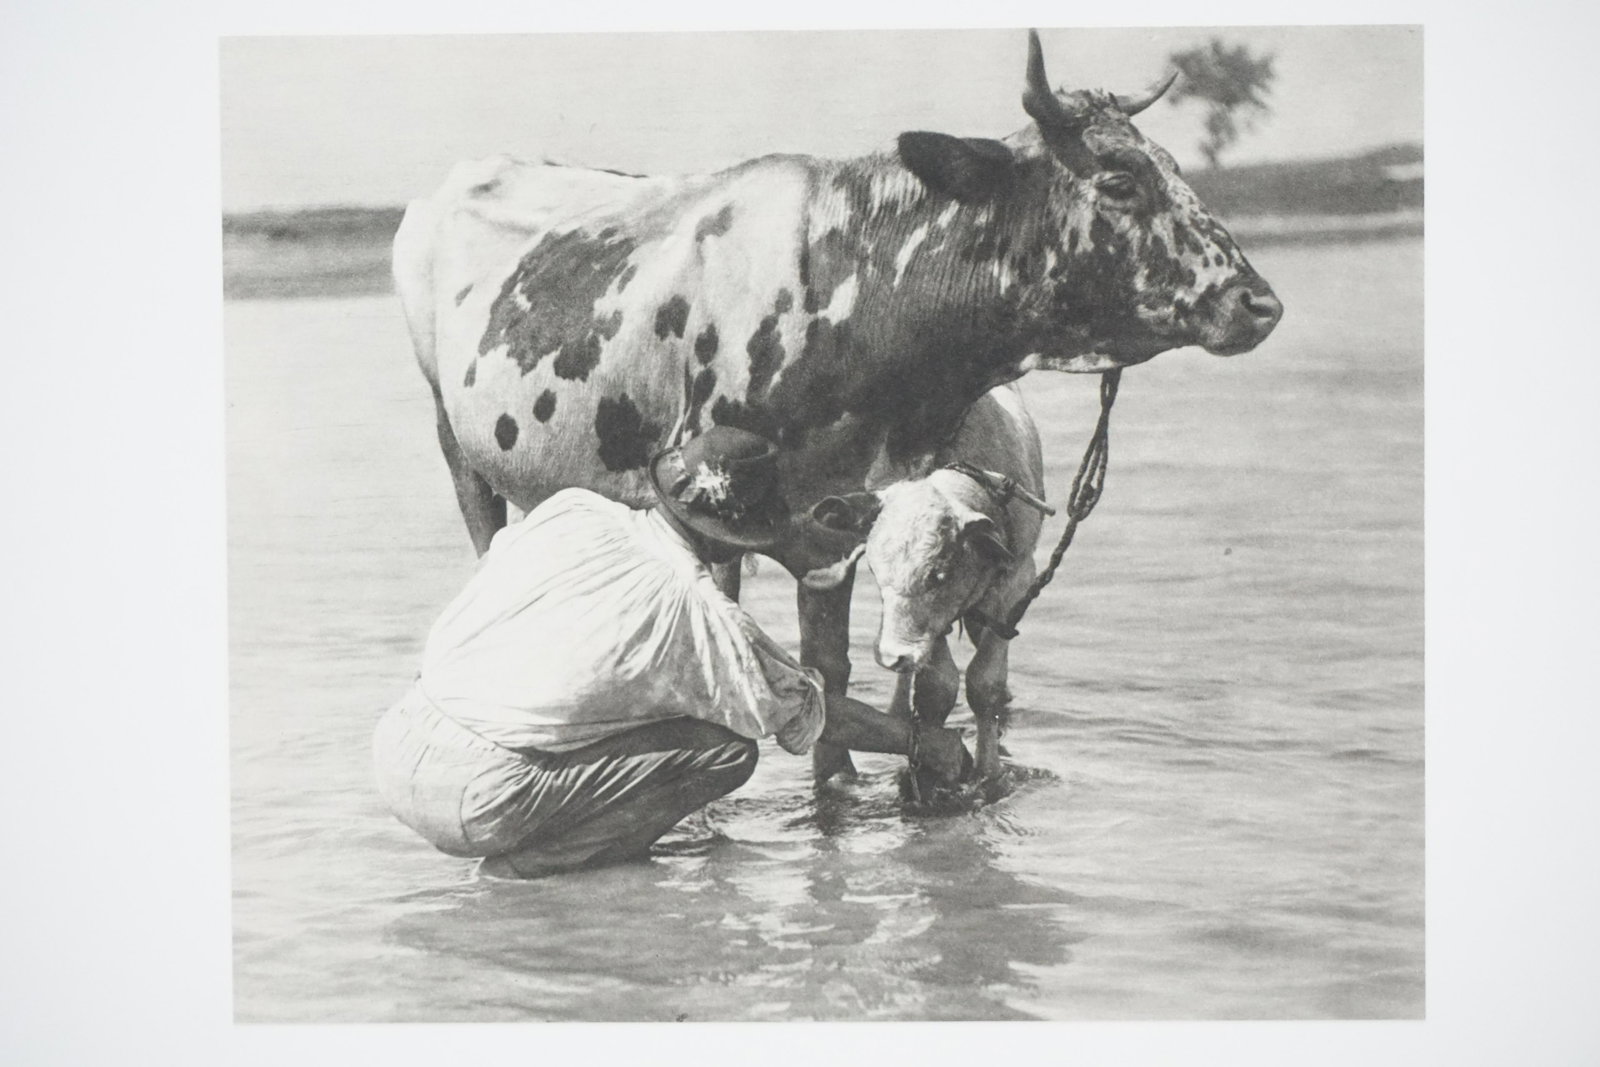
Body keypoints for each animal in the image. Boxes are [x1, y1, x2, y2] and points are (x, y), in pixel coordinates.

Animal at [804, 382, 1049, 787]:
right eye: (874, 572)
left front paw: (989, 772)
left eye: (939, 573)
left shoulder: (1016, 584)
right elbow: (938, 686)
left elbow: (984, 683)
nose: (892, 655)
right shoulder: (927, 629)